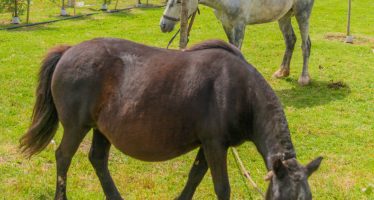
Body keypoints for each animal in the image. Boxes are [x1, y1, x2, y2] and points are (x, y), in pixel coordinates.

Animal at [20, 38, 322, 199]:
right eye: (283, 197)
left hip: (101, 129)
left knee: (97, 159)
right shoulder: (215, 145)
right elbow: (221, 187)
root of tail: (69, 51)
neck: (240, 90)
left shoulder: (209, 145)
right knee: (63, 157)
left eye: (307, 197)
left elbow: (195, 176)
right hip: (77, 126)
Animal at [159, 0, 314, 85]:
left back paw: (304, 78)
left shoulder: (240, 23)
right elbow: (230, 47)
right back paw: (282, 72)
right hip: (284, 16)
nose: (163, 25)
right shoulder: (226, 23)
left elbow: (237, 48)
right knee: (290, 40)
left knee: (305, 45)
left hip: (302, 13)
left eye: (179, 2)